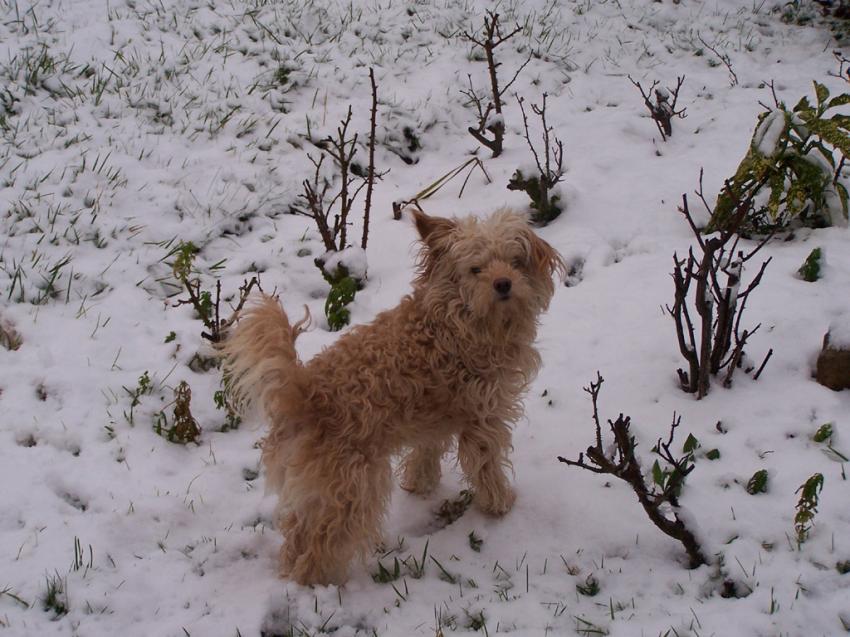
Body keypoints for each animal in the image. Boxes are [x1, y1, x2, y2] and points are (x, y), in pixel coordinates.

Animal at [219, 206, 564, 584]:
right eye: (476, 269)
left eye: (515, 261)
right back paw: (320, 586)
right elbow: (486, 465)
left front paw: (419, 485)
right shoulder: (483, 418)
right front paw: (499, 503)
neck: (457, 317)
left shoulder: (433, 416)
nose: (503, 283)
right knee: (321, 545)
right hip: (352, 485)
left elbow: (426, 451)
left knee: (297, 532)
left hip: (319, 485)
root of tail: (305, 389)